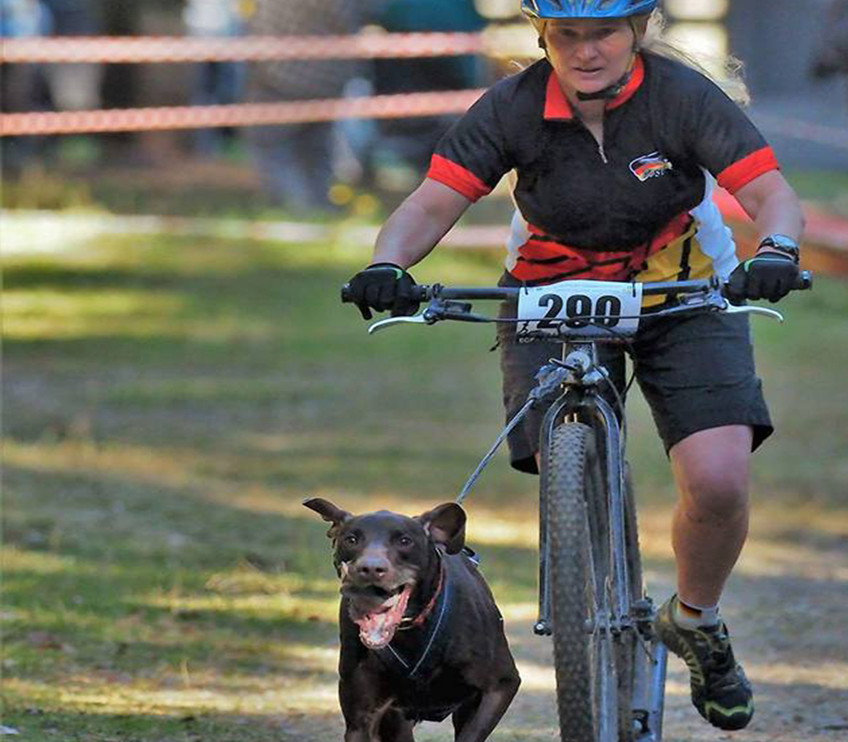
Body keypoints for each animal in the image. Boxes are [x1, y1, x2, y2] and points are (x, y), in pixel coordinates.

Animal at [304, 500, 516, 742]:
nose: (370, 568)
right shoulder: (362, 719)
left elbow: (471, 735)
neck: (411, 628)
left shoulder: (500, 686)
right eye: (351, 539)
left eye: (405, 541)